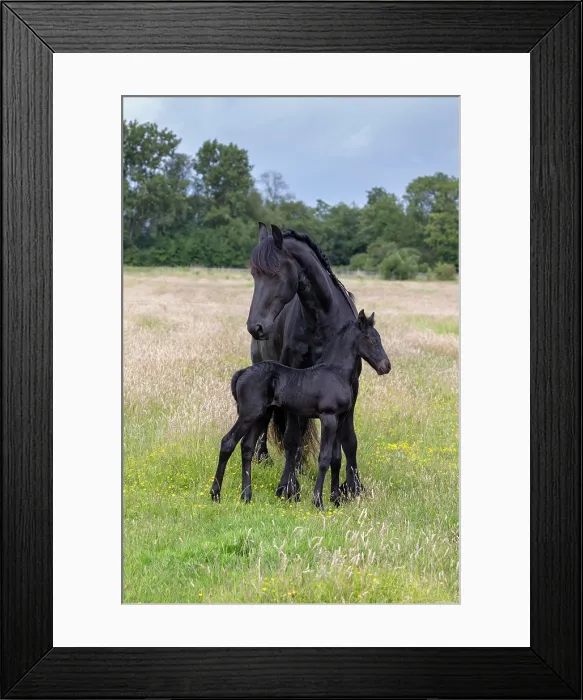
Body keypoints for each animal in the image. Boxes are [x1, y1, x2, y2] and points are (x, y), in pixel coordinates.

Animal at [210, 311, 391, 508]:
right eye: (372, 340)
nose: (386, 366)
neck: (336, 373)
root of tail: (241, 373)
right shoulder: (328, 418)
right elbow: (324, 458)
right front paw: (318, 501)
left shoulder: (340, 419)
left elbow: (336, 459)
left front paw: (335, 499)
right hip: (248, 414)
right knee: (228, 442)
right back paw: (215, 494)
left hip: (262, 415)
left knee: (247, 447)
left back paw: (246, 497)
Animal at [247, 222, 364, 502]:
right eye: (254, 275)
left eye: (276, 274)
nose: (255, 327)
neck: (323, 321)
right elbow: (291, 438)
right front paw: (288, 488)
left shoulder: (351, 387)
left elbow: (349, 440)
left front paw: (354, 487)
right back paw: (264, 458)